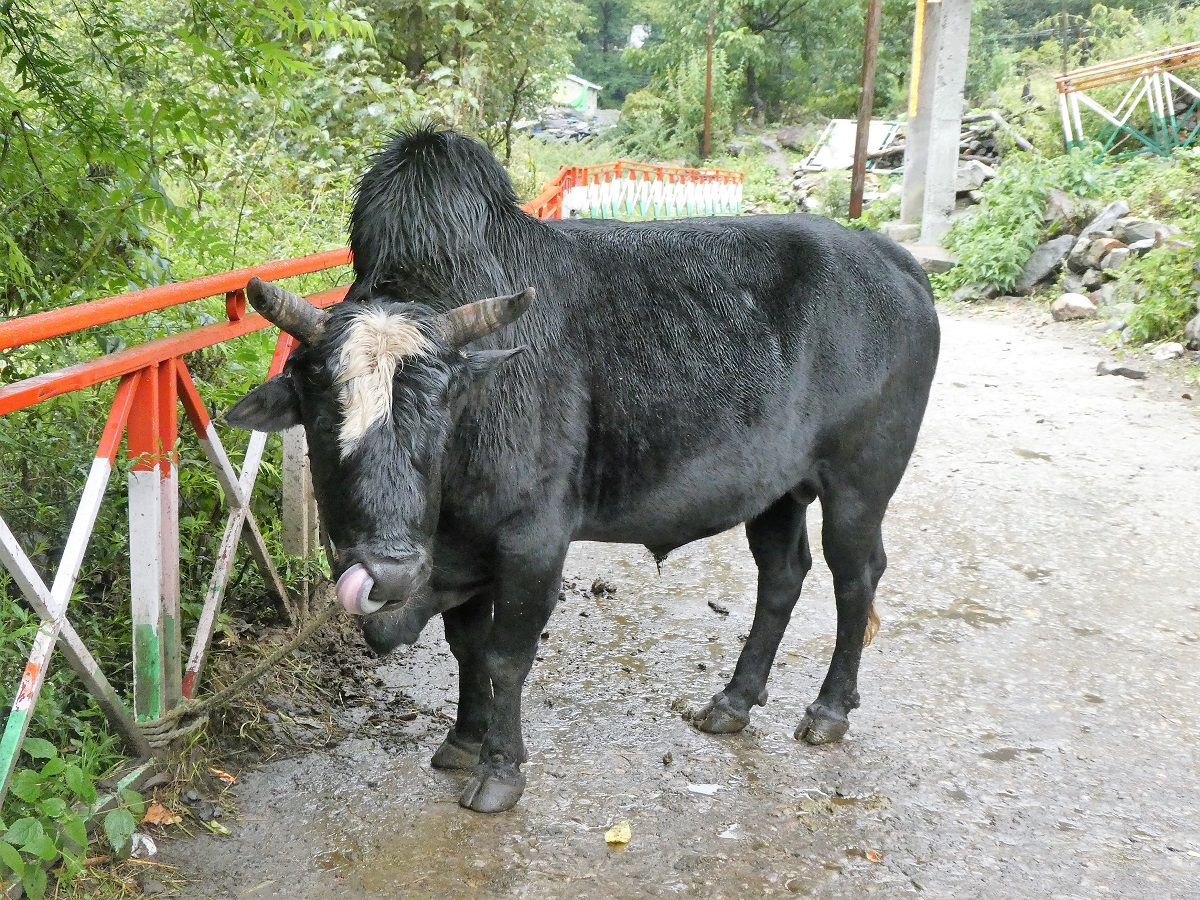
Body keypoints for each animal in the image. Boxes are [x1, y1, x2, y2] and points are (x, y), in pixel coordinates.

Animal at [225, 128, 936, 816]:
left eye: (443, 407)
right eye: (323, 413)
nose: (391, 571)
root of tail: (893, 261)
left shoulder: (534, 540)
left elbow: (507, 654)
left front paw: (499, 771)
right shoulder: (461, 549)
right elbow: (466, 645)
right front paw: (463, 739)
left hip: (860, 483)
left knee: (856, 576)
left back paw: (829, 709)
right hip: (776, 492)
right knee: (783, 575)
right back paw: (733, 701)